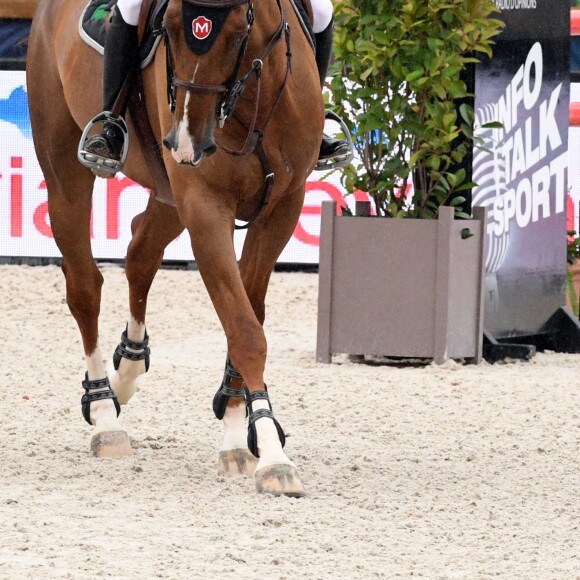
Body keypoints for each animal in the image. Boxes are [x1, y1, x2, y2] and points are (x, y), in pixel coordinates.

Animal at [26, 0, 322, 498]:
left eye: (238, 33)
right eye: (166, 29)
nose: (186, 144)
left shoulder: (283, 206)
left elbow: (247, 316)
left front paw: (238, 433)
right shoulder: (204, 205)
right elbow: (245, 329)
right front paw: (272, 457)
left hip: (168, 193)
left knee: (141, 249)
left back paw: (126, 371)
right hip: (68, 166)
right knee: (85, 286)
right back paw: (105, 413)